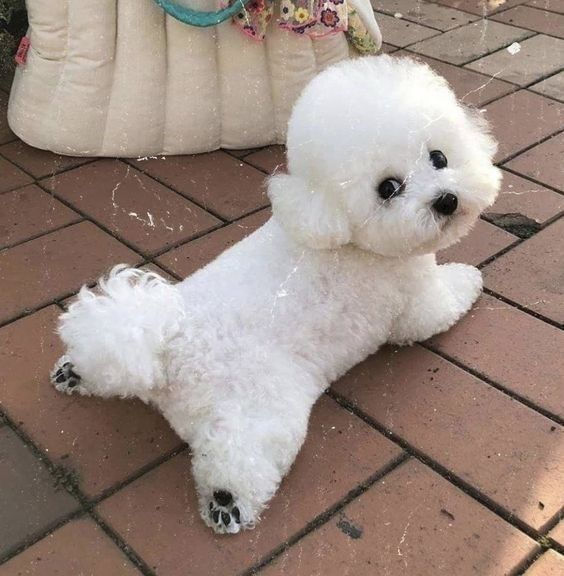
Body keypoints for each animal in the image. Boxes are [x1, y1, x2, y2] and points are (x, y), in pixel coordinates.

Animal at [50, 56, 500, 532]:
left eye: (439, 157)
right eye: (389, 188)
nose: (446, 200)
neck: (342, 235)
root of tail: (168, 341)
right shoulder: (415, 303)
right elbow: (445, 302)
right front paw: (470, 276)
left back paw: (74, 372)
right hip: (263, 406)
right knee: (241, 455)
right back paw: (227, 502)